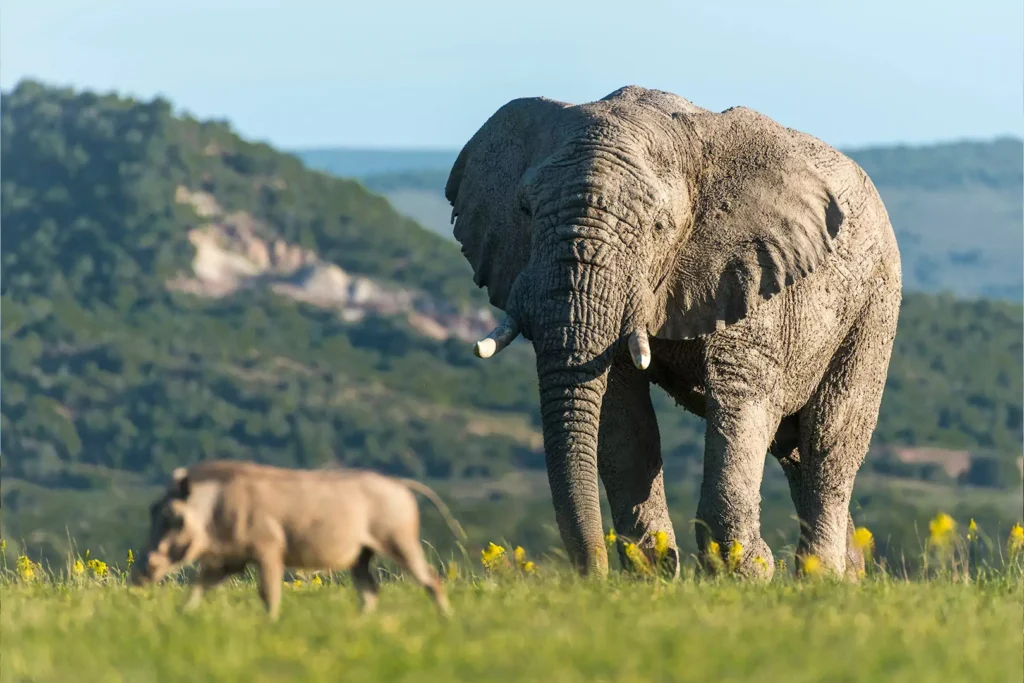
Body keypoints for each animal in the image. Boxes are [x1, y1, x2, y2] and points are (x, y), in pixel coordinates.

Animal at [444, 82, 901, 581]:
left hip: (875, 305)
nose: (591, 575)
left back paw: (822, 577)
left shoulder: (755, 275)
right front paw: (654, 575)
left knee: (828, 445)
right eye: (525, 211)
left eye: (659, 226)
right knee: (794, 452)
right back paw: (849, 577)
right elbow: (621, 414)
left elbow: (741, 402)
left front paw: (746, 575)